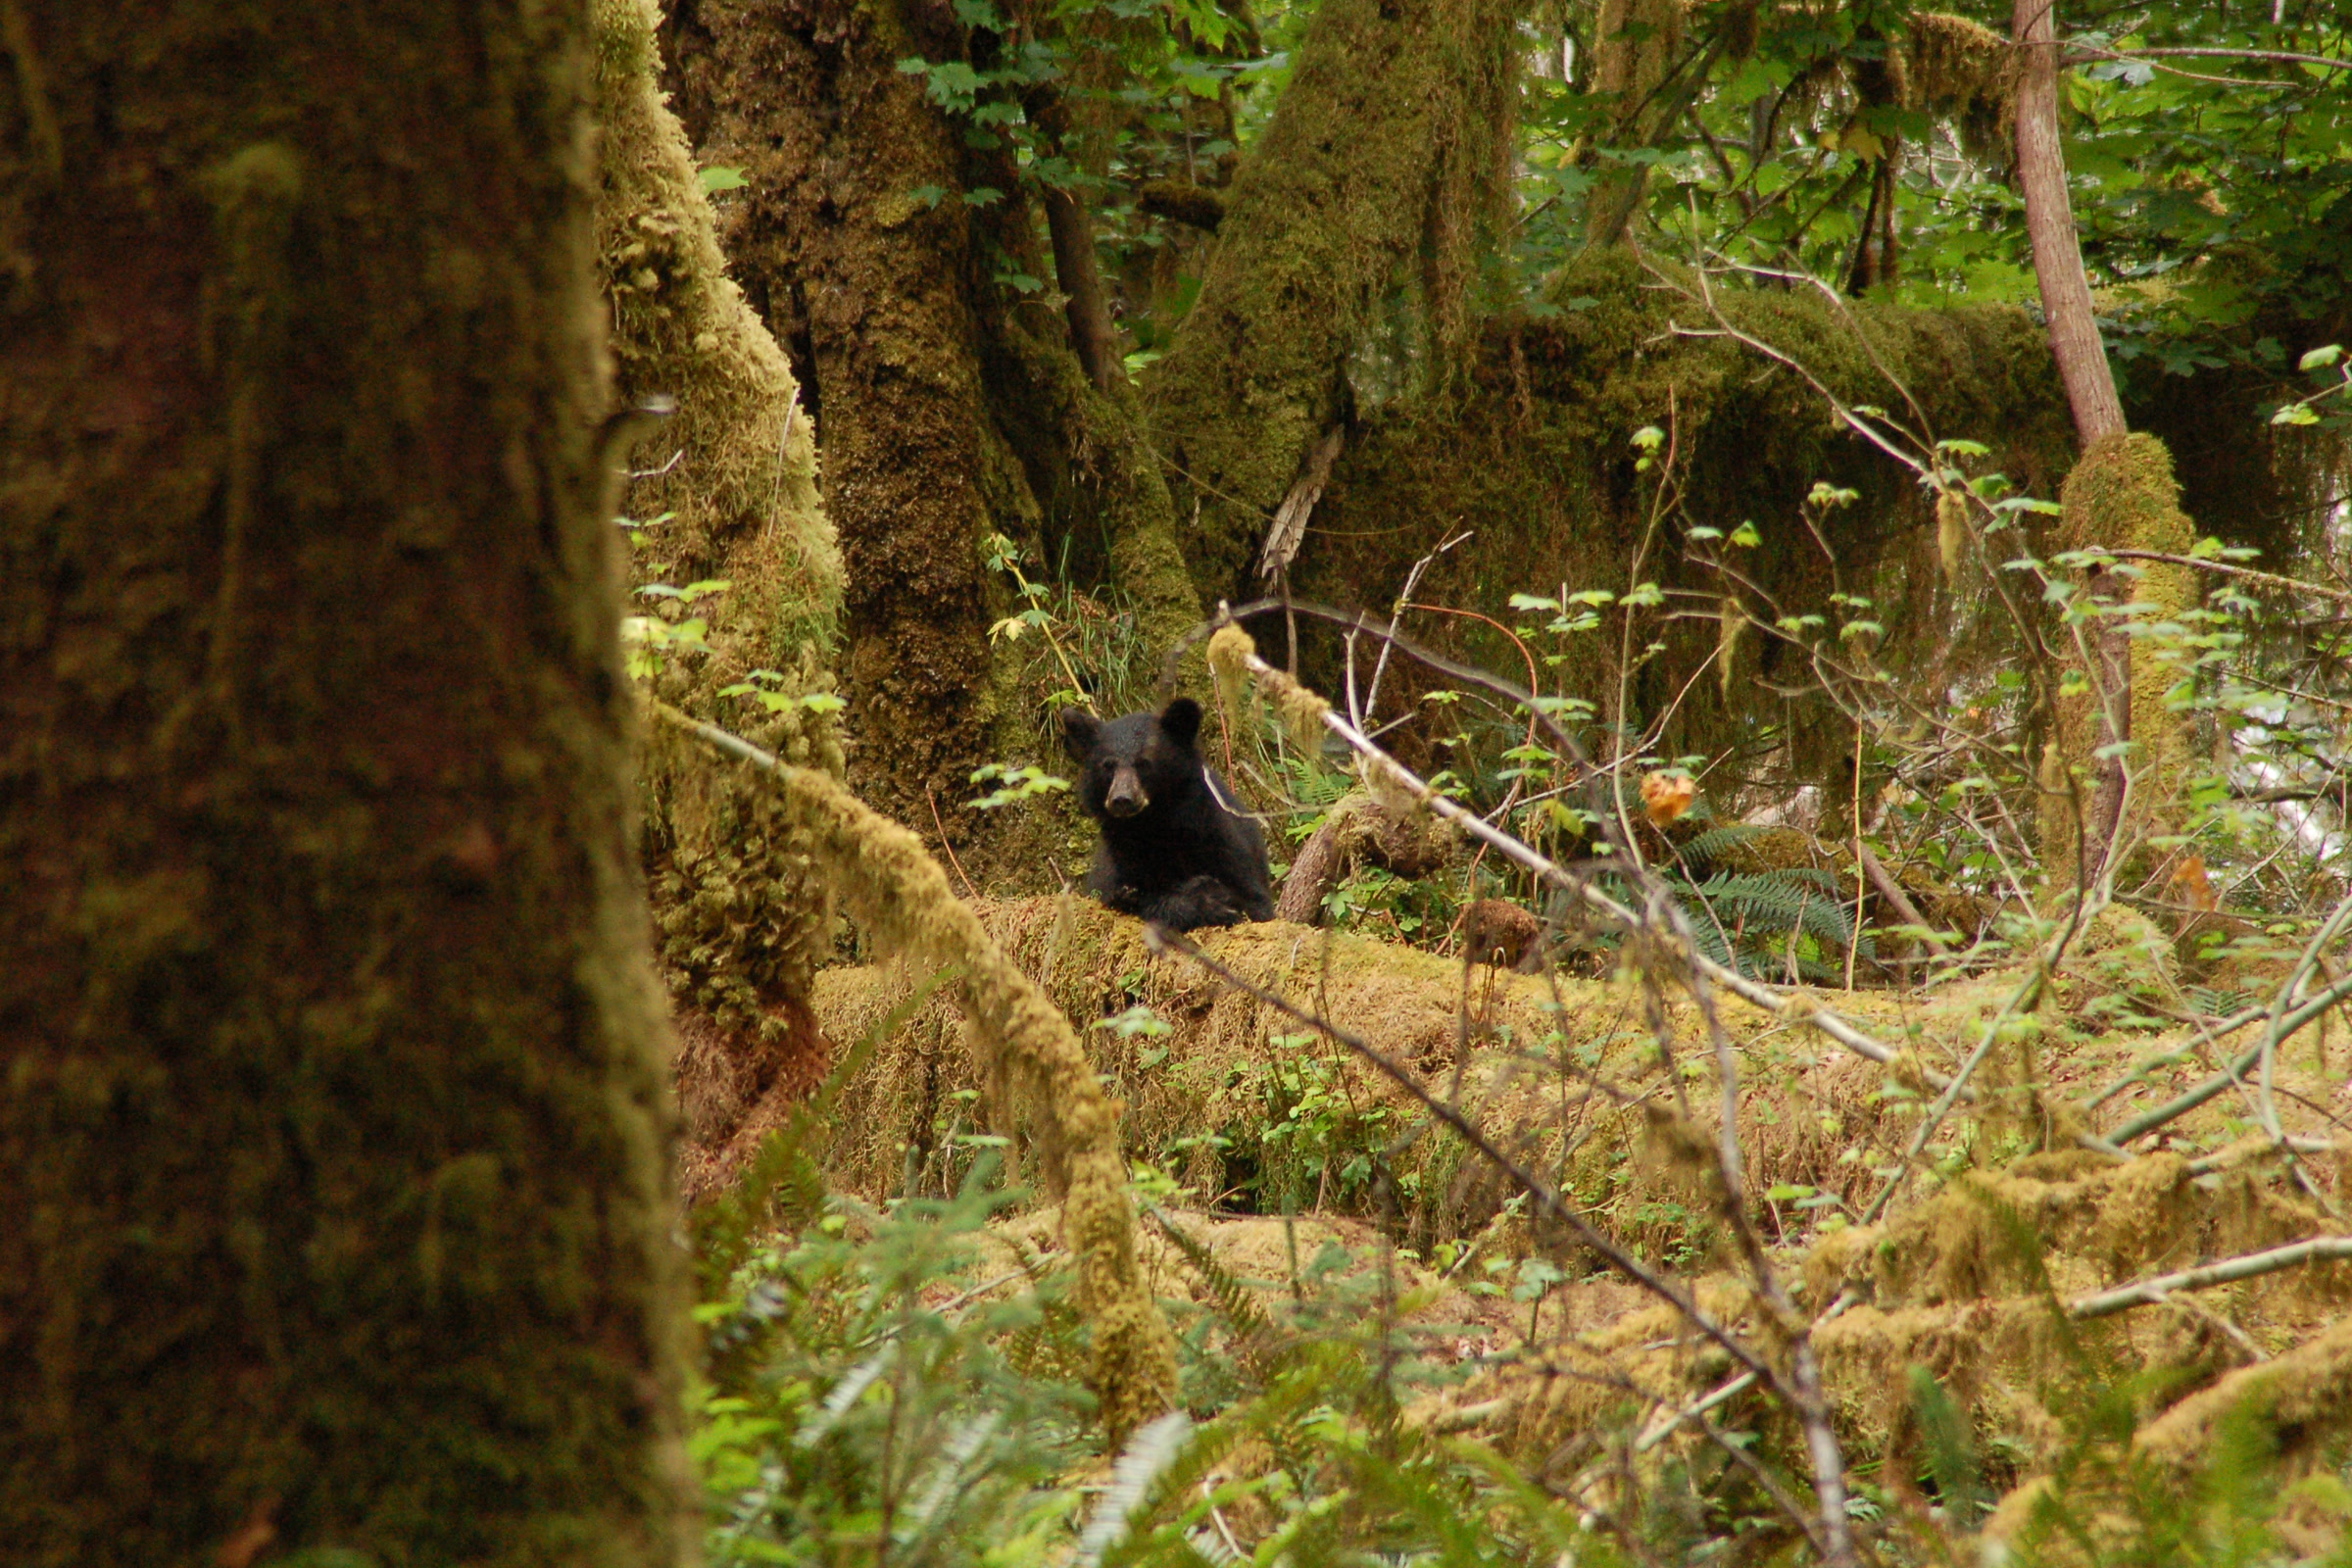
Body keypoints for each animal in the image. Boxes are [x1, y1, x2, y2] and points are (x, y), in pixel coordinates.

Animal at [1060, 697, 1273, 931]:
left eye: (1143, 763)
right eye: (1108, 765)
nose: (1122, 799)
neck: (1154, 824)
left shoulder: (1217, 839)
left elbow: (1253, 899)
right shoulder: (1118, 859)